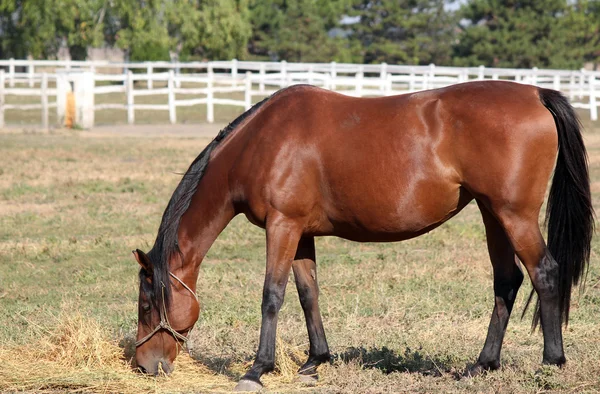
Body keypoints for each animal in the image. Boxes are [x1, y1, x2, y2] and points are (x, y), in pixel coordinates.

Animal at [130, 81, 592, 390]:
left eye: (147, 305)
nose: (144, 365)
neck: (261, 142)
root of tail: (535, 94)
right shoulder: (301, 233)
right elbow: (308, 293)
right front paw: (314, 361)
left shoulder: (282, 226)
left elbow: (272, 296)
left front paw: (258, 370)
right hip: (491, 213)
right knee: (507, 281)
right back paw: (482, 364)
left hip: (514, 215)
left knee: (544, 273)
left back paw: (551, 361)